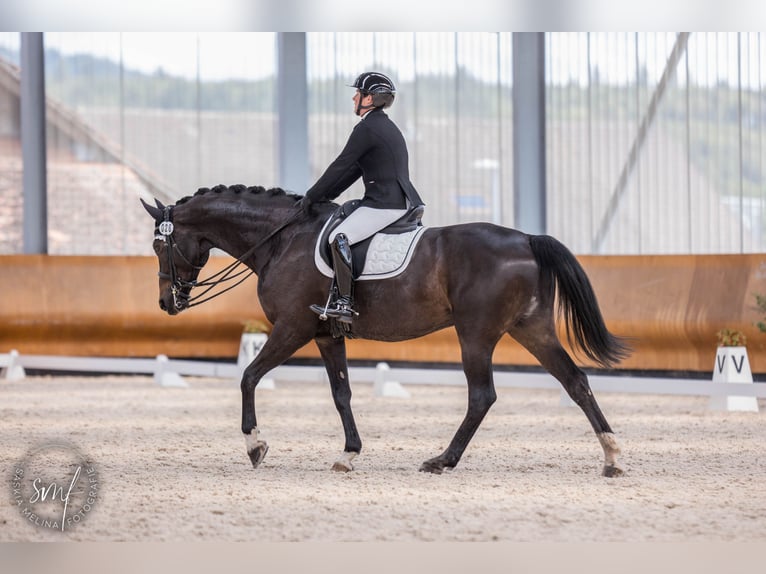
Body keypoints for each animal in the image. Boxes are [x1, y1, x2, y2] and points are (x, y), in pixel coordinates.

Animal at [141, 183, 632, 476]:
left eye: (159, 245)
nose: (167, 302)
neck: (281, 239)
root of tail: (526, 239)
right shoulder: (326, 334)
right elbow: (341, 394)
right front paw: (348, 454)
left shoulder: (294, 327)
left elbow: (248, 376)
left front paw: (255, 446)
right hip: (531, 328)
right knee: (575, 381)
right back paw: (610, 457)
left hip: (476, 333)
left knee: (482, 395)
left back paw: (442, 460)